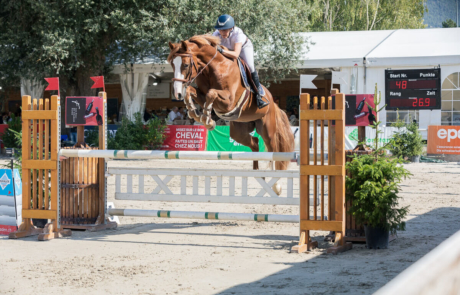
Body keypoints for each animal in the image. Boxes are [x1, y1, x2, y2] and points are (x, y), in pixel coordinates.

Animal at [167, 35, 292, 172]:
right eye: (172, 65)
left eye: (185, 65)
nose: (177, 93)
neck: (213, 68)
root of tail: (273, 103)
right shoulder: (204, 96)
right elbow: (191, 91)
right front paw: (195, 113)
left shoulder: (229, 102)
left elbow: (211, 93)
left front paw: (207, 120)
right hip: (239, 130)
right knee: (254, 143)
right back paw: (257, 172)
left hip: (267, 129)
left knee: (273, 149)